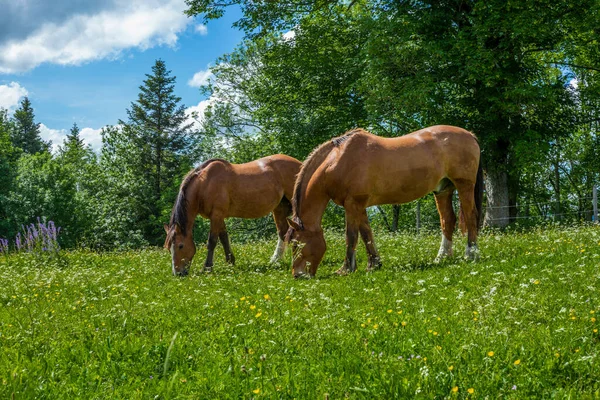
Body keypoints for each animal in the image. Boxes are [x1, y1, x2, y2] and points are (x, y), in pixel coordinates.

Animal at [164, 155, 300, 276]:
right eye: (169, 248)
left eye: (180, 246)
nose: (178, 273)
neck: (205, 183)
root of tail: (298, 164)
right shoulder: (219, 217)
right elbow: (224, 238)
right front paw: (230, 262)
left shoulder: (216, 215)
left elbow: (212, 241)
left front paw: (207, 268)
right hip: (279, 208)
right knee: (283, 234)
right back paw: (276, 261)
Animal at [284, 125, 482, 278]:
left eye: (296, 244)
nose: (298, 275)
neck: (337, 161)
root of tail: (470, 135)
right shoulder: (359, 206)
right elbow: (366, 234)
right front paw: (374, 264)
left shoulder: (352, 205)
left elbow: (351, 236)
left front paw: (346, 269)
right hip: (443, 190)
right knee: (447, 220)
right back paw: (442, 257)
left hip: (464, 185)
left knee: (471, 216)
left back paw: (471, 254)